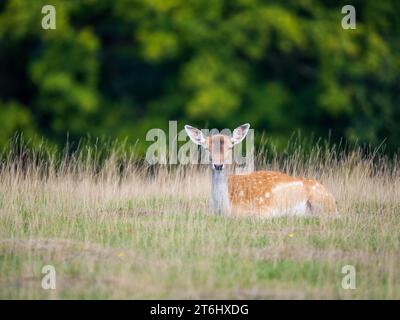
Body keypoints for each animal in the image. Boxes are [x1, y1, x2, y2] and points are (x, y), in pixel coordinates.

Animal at [184, 123, 338, 218]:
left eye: (230, 147)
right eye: (206, 148)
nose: (218, 165)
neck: (225, 210)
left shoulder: (264, 211)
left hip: (322, 201)